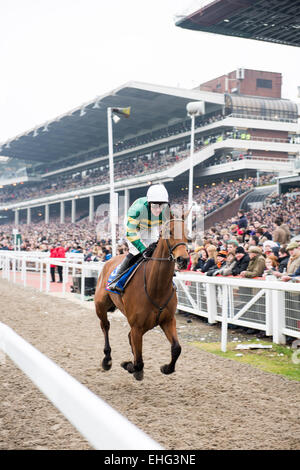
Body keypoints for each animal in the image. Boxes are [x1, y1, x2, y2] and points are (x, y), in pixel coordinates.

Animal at [94, 215, 190, 380]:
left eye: (188, 233)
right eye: (170, 232)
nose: (183, 259)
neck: (156, 287)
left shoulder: (168, 320)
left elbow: (177, 348)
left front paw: (166, 368)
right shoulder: (137, 327)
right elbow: (138, 363)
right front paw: (129, 366)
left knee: (127, 336)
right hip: (100, 306)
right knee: (105, 326)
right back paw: (107, 359)